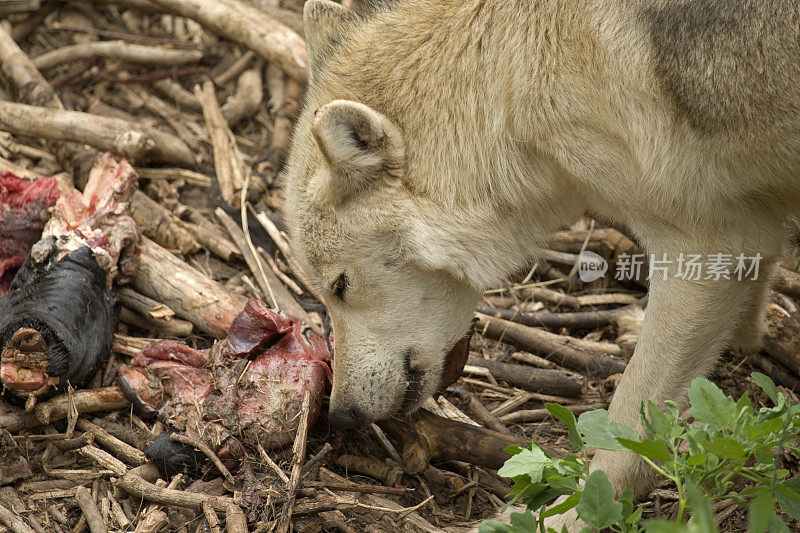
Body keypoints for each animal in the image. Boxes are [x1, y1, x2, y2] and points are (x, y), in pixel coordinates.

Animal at [282, 0, 800, 516]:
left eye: (340, 285)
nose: (341, 414)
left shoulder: (708, 242)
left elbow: (629, 422)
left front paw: (575, 512)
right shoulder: (750, 227)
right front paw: (749, 339)